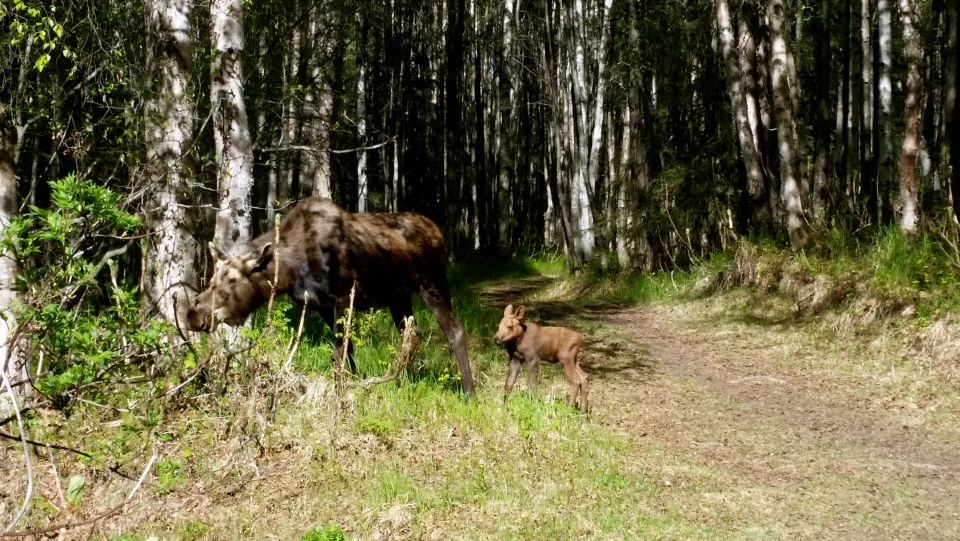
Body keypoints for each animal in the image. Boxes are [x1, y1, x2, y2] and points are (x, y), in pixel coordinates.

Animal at [182, 196, 474, 394]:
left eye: (232, 280)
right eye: (212, 279)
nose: (194, 314)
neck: (291, 270)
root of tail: (439, 231)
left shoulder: (343, 297)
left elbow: (338, 353)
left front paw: (341, 392)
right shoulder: (321, 305)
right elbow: (346, 350)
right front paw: (351, 384)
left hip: (432, 283)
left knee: (455, 331)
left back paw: (469, 391)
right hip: (398, 297)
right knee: (412, 334)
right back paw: (398, 381)